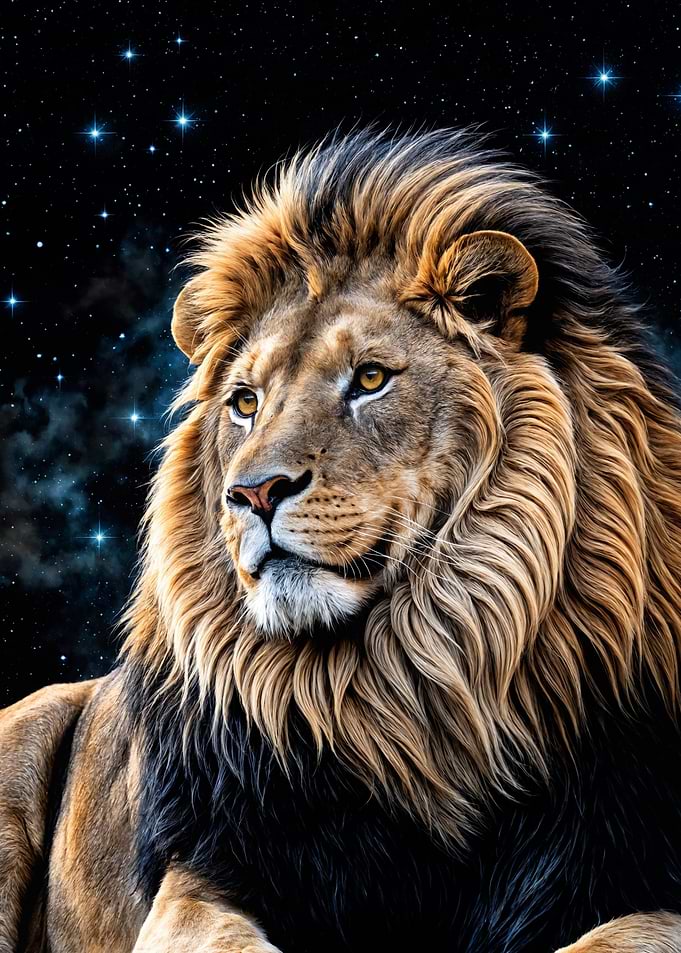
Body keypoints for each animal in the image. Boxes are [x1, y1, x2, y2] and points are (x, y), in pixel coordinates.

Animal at [3, 128, 681, 953]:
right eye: (245, 401)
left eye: (369, 378)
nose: (253, 493)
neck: (401, 682)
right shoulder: (202, 877)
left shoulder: (630, 860)